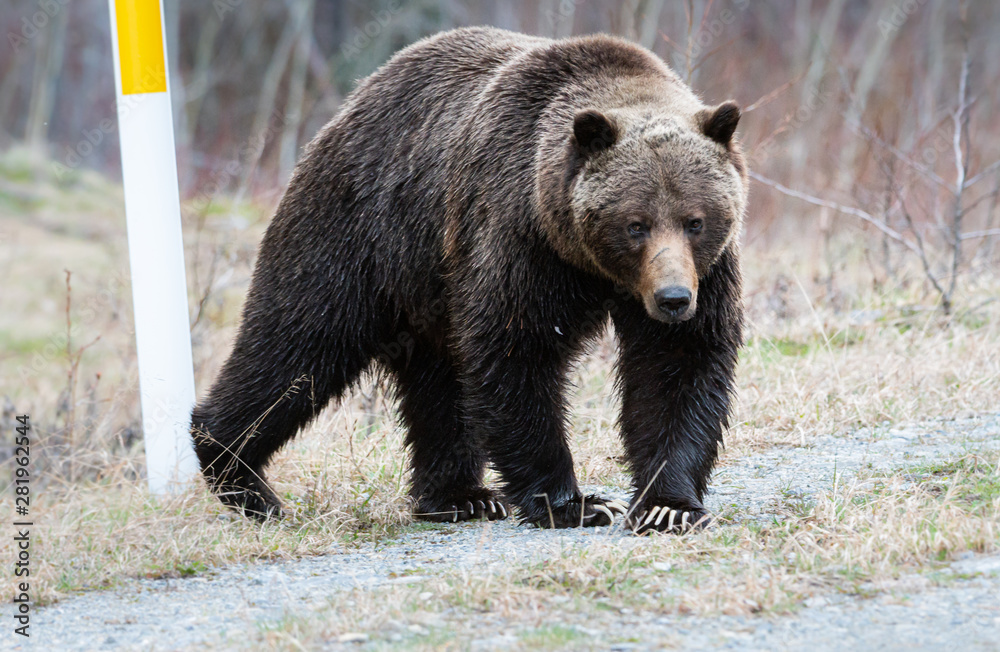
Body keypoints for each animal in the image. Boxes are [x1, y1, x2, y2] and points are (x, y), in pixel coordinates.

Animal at [191, 26, 747, 534]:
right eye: (636, 224)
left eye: (694, 220)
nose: (673, 298)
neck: (587, 263)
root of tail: (349, 106)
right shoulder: (519, 236)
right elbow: (516, 351)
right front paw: (576, 503)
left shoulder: (708, 270)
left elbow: (677, 364)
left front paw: (668, 506)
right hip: (355, 235)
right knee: (298, 346)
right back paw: (244, 478)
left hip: (429, 287)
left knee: (439, 384)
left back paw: (460, 496)